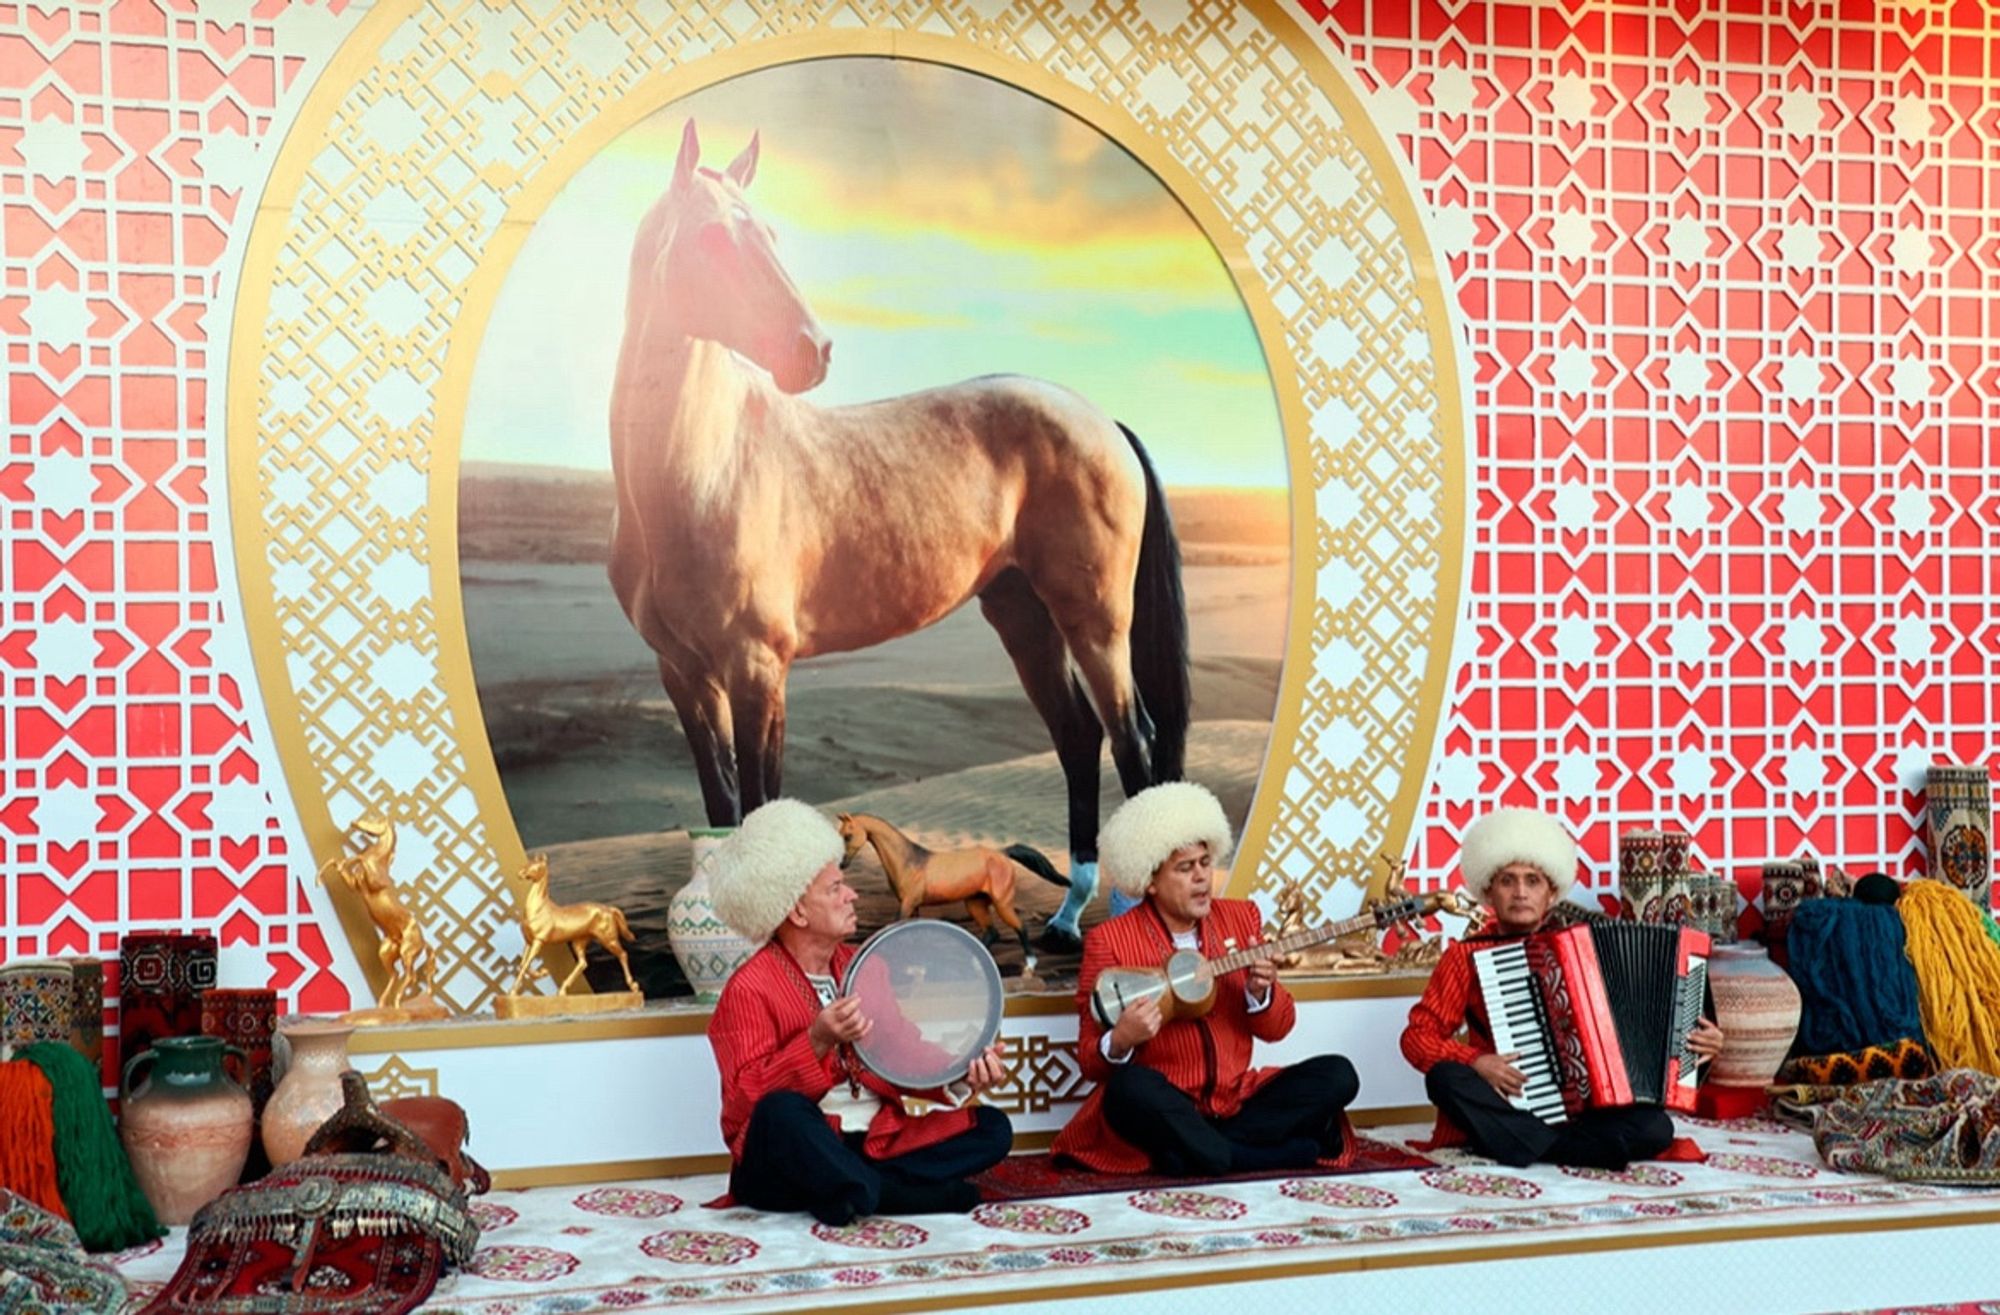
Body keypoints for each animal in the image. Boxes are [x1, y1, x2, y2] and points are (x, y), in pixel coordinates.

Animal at [318, 815, 436, 1007]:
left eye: (375, 821)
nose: (354, 823)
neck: (380, 863)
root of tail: (424, 942)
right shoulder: (354, 886)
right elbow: (337, 862)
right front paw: (319, 880)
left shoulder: (373, 882)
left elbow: (360, 857)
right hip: (387, 952)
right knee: (396, 975)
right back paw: (382, 1004)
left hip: (407, 953)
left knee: (410, 977)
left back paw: (397, 1004)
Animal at [508, 851, 640, 995]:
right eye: (528, 862)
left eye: (535, 865)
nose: (520, 873)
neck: (538, 909)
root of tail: (609, 909)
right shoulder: (529, 941)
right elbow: (522, 963)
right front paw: (542, 973)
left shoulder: (539, 941)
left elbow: (526, 964)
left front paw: (513, 991)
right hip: (579, 942)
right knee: (582, 963)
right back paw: (562, 990)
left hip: (608, 939)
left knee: (623, 954)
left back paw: (633, 987)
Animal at [836, 807, 1072, 963]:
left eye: (848, 836)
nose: (841, 864)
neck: (908, 861)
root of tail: (1003, 853)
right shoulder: (914, 905)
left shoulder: (907, 903)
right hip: (975, 903)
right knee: (992, 932)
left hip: (1002, 903)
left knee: (1020, 928)